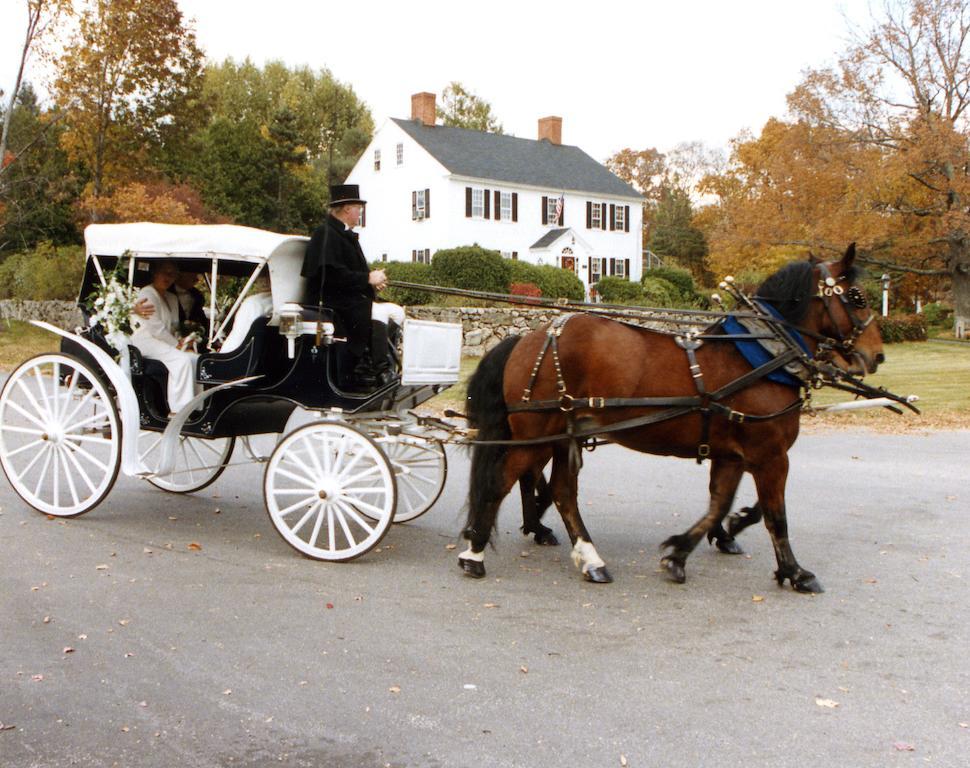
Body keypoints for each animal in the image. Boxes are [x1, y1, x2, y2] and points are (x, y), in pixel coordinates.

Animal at [458, 243, 880, 592]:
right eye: (857, 297)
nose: (875, 354)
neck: (760, 356)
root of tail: (528, 337)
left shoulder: (732, 454)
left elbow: (719, 505)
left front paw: (680, 553)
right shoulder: (769, 454)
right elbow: (776, 516)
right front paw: (795, 572)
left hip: (565, 434)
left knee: (561, 491)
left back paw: (590, 559)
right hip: (537, 433)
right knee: (502, 480)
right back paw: (473, 553)